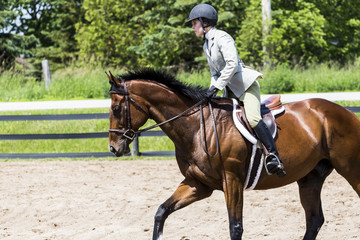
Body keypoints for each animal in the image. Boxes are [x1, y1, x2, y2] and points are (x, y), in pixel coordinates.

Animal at [107, 68, 360, 239]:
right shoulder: (198, 184)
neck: (198, 127)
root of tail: (346, 112)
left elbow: (235, 227)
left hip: (350, 169)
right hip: (310, 178)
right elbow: (161, 212)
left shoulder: (232, 181)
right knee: (314, 220)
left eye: (116, 108)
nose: (113, 148)